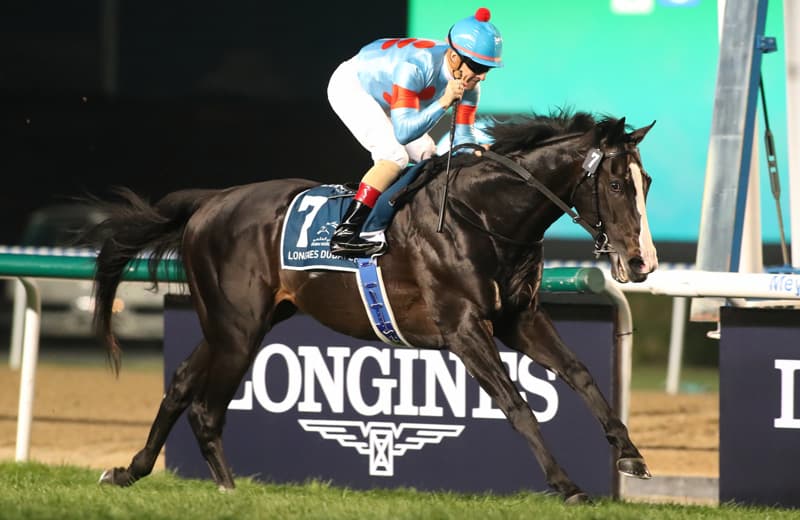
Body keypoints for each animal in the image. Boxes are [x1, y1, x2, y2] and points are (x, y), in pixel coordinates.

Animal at [89, 110, 658, 504]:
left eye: (645, 183)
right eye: (614, 184)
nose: (642, 261)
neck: (483, 215)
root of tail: (211, 203)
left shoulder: (518, 318)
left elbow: (581, 374)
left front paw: (630, 455)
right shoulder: (463, 328)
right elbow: (517, 404)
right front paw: (567, 484)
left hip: (240, 323)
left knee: (181, 384)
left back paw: (129, 470)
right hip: (237, 327)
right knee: (205, 406)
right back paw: (228, 490)